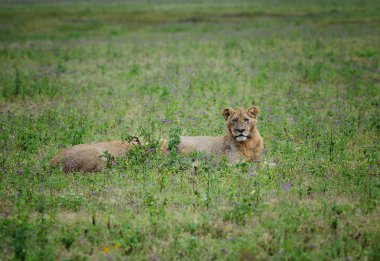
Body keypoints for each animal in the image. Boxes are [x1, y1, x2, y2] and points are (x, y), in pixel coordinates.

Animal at [50, 105, 262, 171]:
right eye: (234, 120)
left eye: (246, 119)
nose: (240, 130)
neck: (248, 144)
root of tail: (51, 161)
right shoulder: (232, 163)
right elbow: (252, 165)